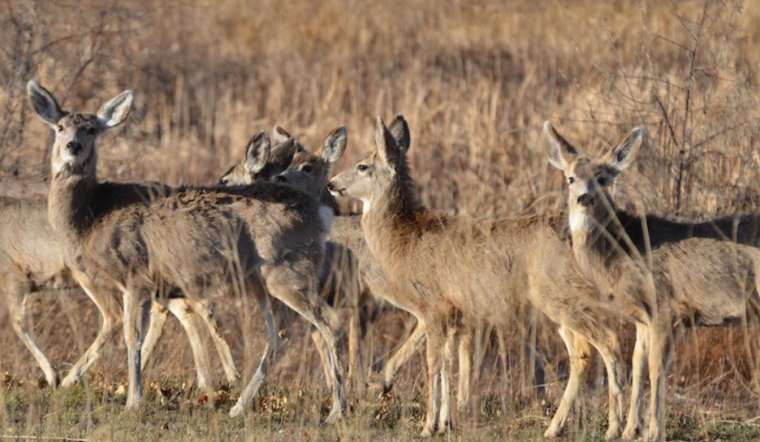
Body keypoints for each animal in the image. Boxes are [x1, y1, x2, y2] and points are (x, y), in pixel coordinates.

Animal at [27, 81, 346, 421]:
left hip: (287, 271)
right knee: (280, 336)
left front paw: (132, 401)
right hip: (263, 281)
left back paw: (337, 410)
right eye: (60, 127)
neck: (93, 215)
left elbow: (132, 337)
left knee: (329, 321)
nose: (72, 146)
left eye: (91, 129)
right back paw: (238, 406)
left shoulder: (136, 274)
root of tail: (320, 213)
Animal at [328, 115, 629, 437]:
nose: (332, 183)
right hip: (563, 304)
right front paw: (446, 422)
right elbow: (448, 365)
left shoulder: (434, 307)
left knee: (608, 343)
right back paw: (555, 427)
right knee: (582, 353)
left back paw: (614, 428)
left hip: (565, 297)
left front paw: (428, 426)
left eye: (362, 166)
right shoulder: (456, 313)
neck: (404, 240)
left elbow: (433, 364)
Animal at [545, 122, 760, 441]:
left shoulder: (665, 307)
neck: (623, 249)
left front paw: (653, 432)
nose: (585, 197)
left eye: (602, 178)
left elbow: (657, 368)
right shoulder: (642, 317)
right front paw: (628, 430)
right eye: (570, 178)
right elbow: (637, 364)